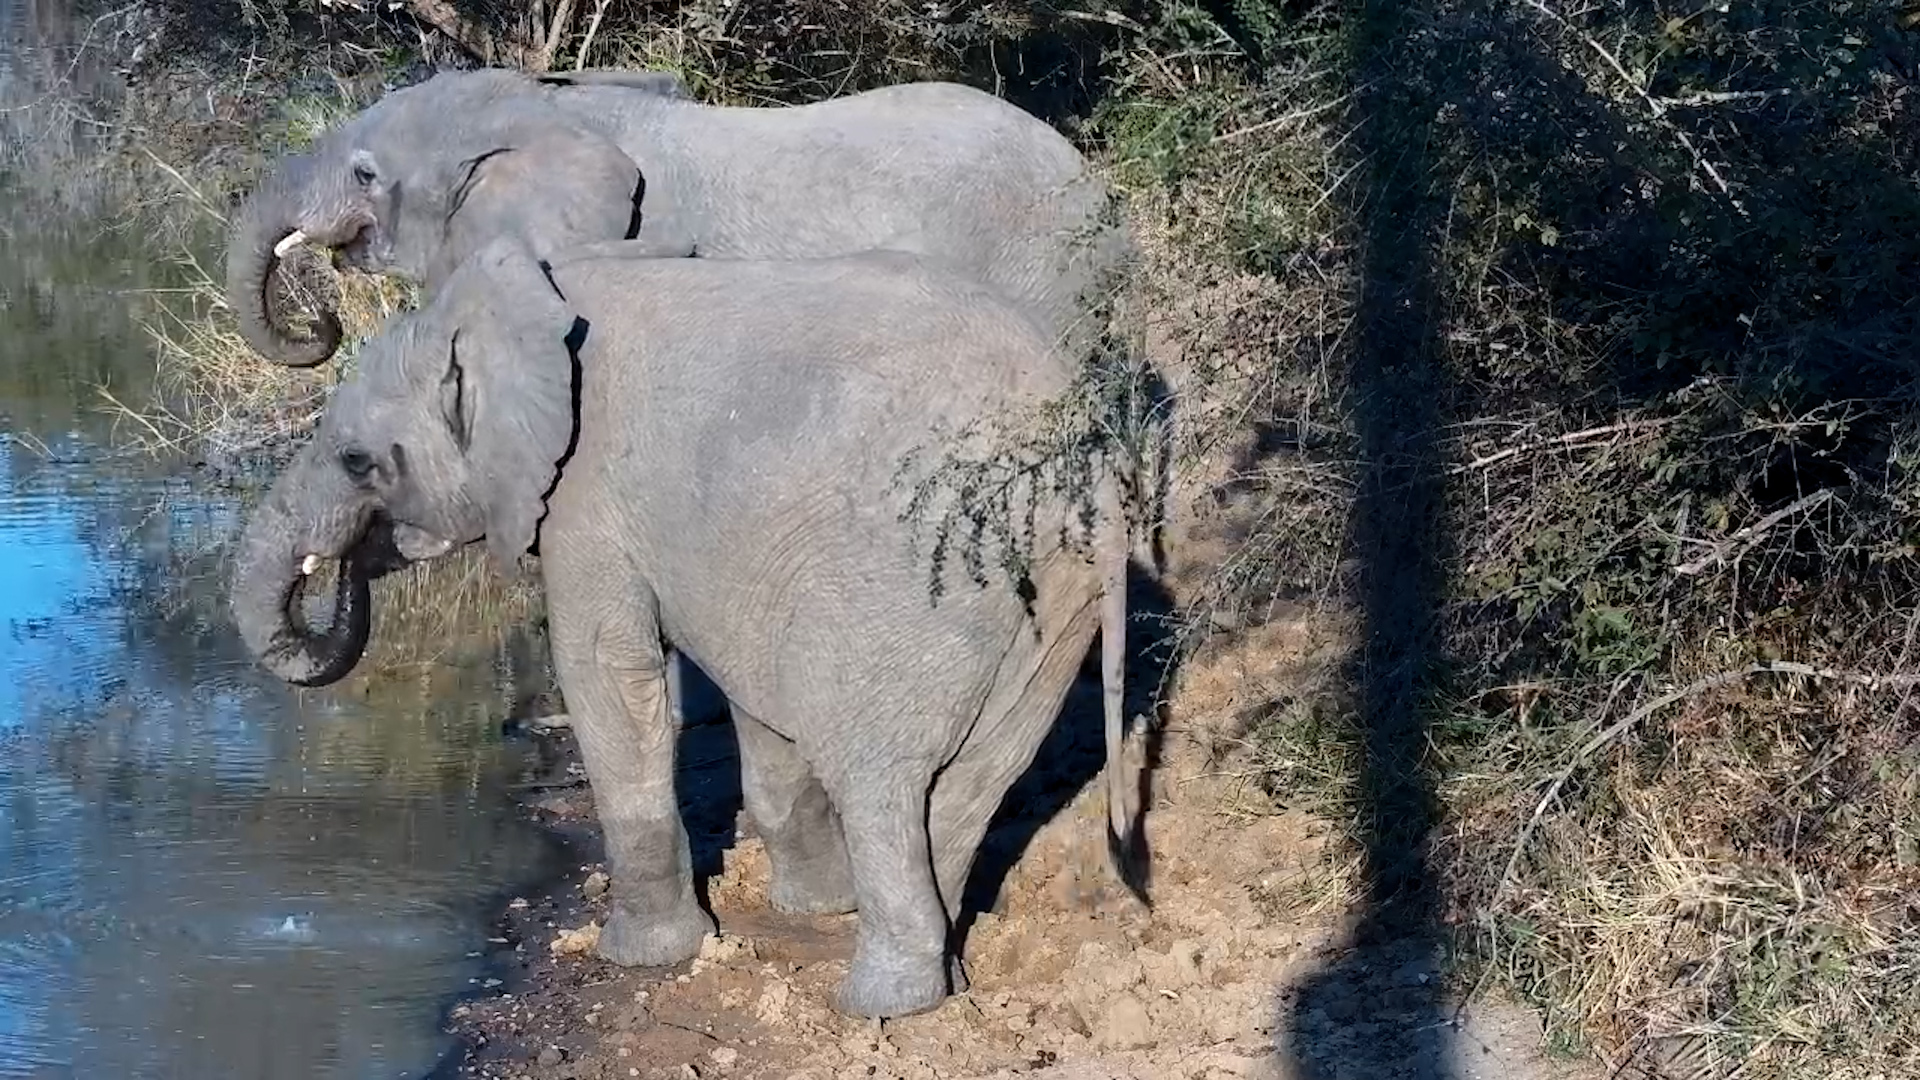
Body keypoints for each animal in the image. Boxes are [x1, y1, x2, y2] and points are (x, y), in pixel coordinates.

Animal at [227, 237, 1141, 1019]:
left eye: (357, 462)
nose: (351, 566)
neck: (515, 303)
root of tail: (1081, 449)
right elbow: (757, 699)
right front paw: (812, 904)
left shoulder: (584, 498)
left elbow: (608, 677)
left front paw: (641, 957)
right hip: (1052, 599)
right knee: (977, 778)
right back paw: (942, 972)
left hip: (919, 576)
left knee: (879, 780)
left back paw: (880, 1004)